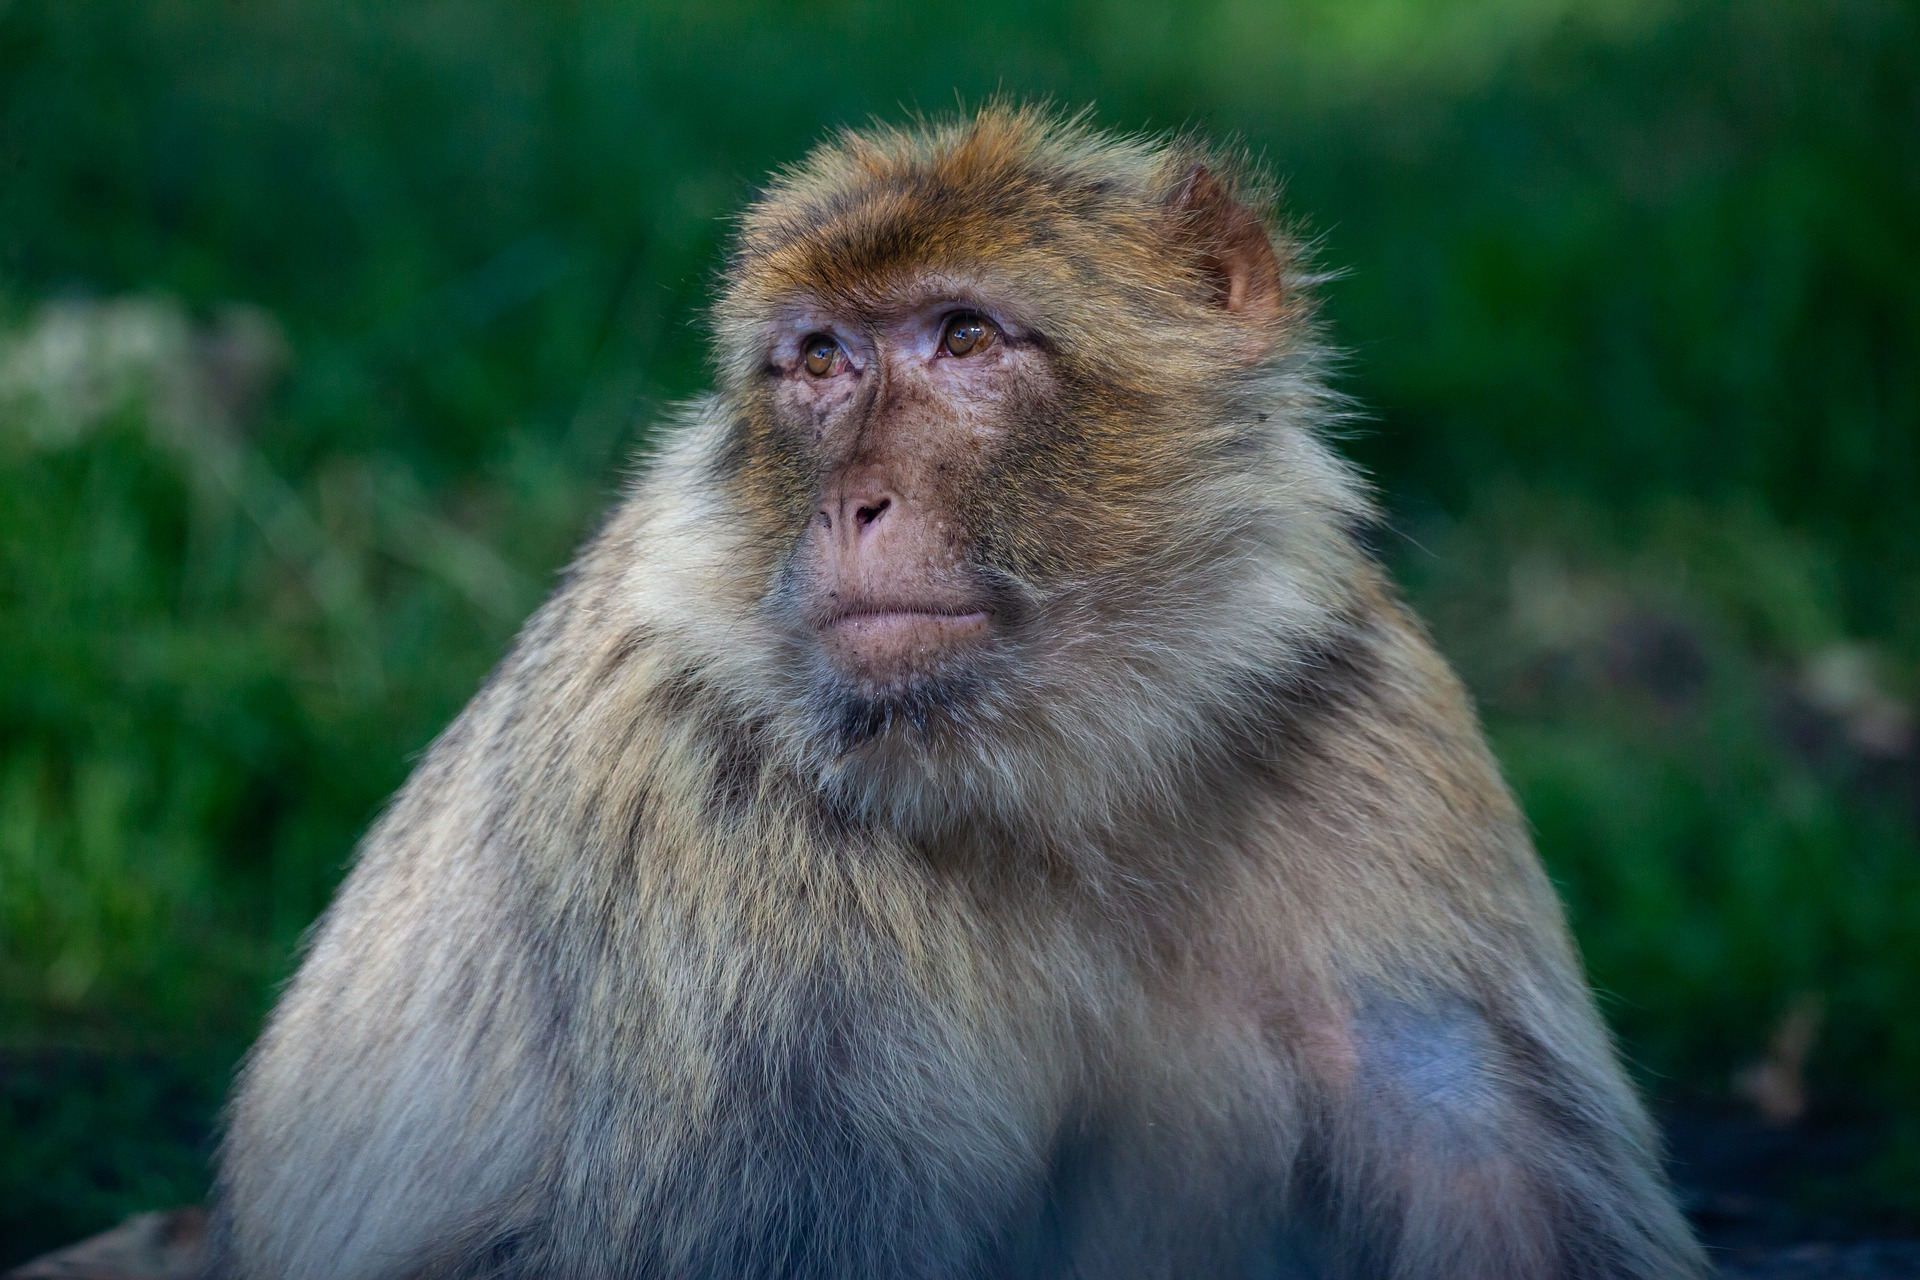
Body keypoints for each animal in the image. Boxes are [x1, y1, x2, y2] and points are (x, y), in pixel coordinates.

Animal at [210, 106, 1707, 1279]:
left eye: (966, 337)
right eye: (821, 361)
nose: (852, 505)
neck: (1060, 779)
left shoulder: (1368, 718)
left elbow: (1481, 1146)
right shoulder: (698, 794)